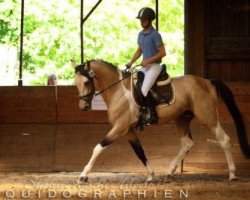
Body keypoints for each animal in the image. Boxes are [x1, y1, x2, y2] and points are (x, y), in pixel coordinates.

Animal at [71, 58, 250, 184]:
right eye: (76, 83)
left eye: (86, 82)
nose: (83, 106)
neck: (118, 90)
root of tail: (207, 81)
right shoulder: (128, 130)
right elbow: (139, 151)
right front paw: (151, 176)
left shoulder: (120, 127)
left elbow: (98, 147)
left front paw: (83, 175)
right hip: (182, 118)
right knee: (187, 143)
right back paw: (169, 172)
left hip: (208, 118)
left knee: (224, 140)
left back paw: (232, 174)